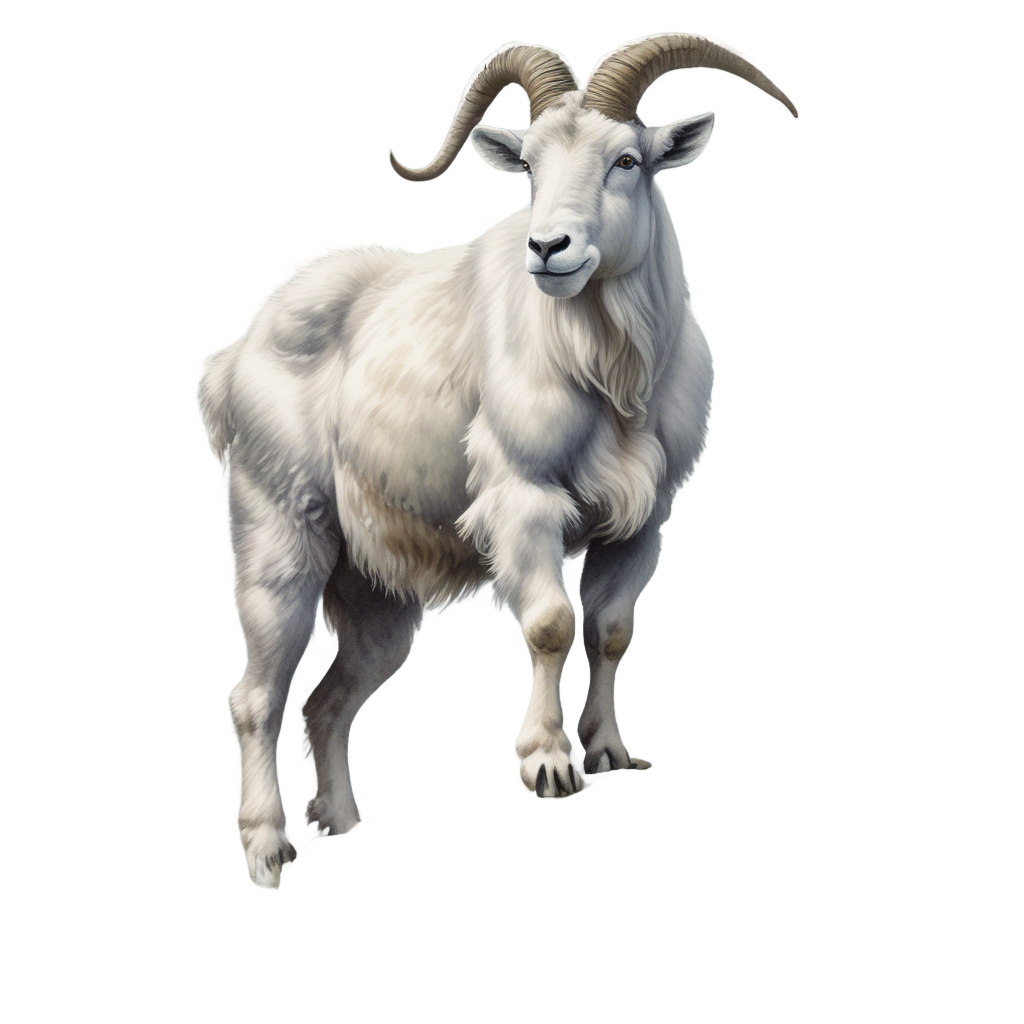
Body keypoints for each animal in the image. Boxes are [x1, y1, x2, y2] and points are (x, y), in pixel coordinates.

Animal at [201, 34, 798, 885]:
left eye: (627, 159)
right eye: (530, 165)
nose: (548, 249)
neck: (607, 380)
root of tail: (234, 364)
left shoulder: (639, 526)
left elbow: (609, 629)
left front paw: (609, 750)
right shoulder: (526, 501)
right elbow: (550, 623)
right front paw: (549, 762)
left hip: (375, 595)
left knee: (330, 701)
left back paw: (347, 830)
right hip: (284, 543)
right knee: (259, 697)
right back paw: (266, 847)